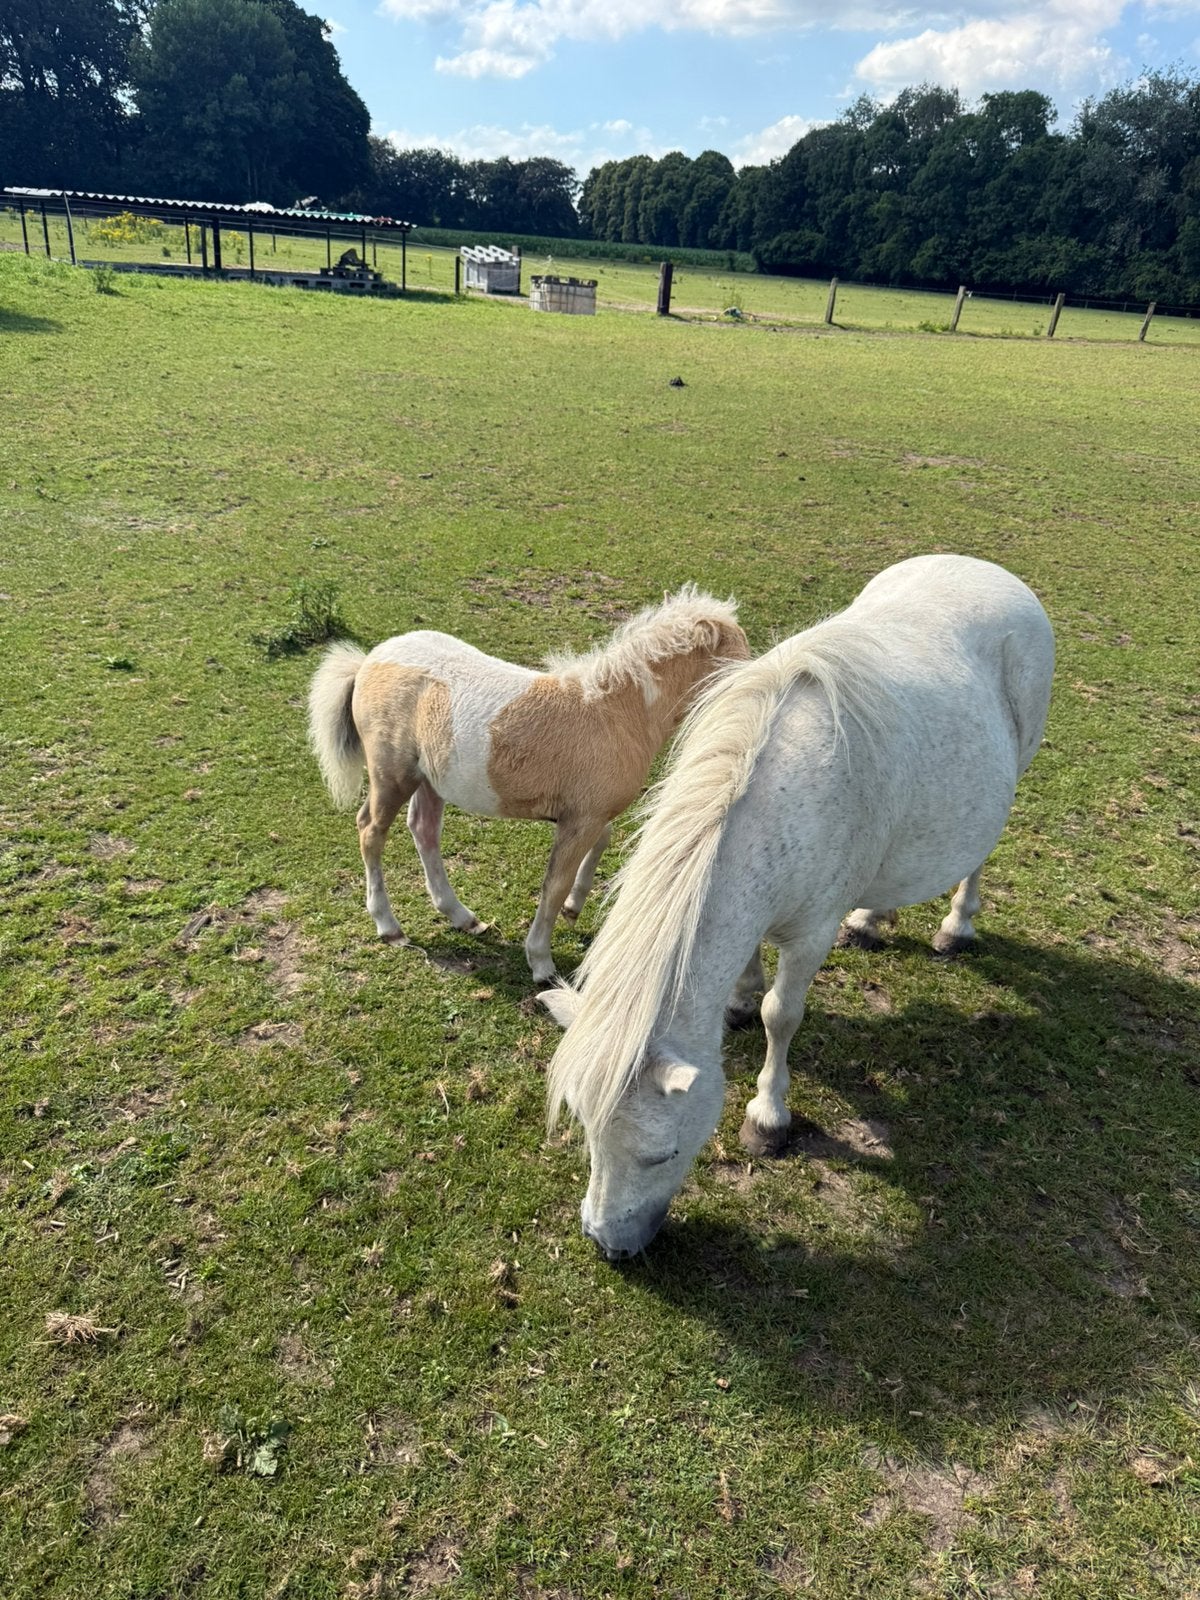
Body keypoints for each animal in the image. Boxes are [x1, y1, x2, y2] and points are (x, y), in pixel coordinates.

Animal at [307, 586, 749, 982]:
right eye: (735, 660)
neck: (619, 713)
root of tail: (368, 661)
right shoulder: (580, 820)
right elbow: (553, 884)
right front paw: (541, 963)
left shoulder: (585, 813)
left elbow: (600, 844)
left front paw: (574, 907)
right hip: (392, 775)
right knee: (371, 830)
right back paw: (389, 926)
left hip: (430, 779)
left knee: (423, 830)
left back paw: (462, 917)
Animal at [540, 554, 1055, 1259]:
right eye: (588, 1131)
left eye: (660, 1154)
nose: (607, 1244)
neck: (777, 798)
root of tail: (987, 568)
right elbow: (748, 973)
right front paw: (736, 1003)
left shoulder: (809, 936)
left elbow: (780, 1015)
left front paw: (768, 1115)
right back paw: (870, 921)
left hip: (1016, 768)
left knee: (979, 854)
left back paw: (957, 925)